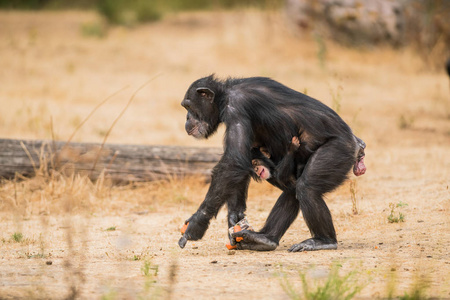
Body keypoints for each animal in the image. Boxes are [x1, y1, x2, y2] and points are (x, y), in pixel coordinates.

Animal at [178, 74, 364, 251]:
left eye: (189, 107)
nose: (186, 118)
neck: (224, 96)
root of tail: (356, 144)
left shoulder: (237, 107)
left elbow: (234, 160)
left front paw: (197, 223)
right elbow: (242, 159)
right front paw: (235, 217)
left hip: (339, 150)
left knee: (307, 188)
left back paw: (324, 241)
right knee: (292, 190)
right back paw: (264, 239)